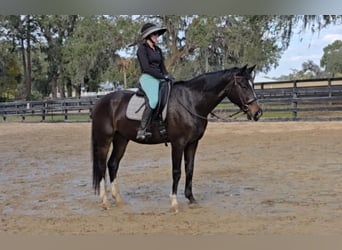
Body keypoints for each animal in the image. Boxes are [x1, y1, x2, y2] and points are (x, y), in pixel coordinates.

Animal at [90, 64, 262, 213]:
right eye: (243, 85)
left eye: (252, 84)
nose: (257, 112)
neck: (191, 102)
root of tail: (100, 102)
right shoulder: (178, 144)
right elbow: (177, 171)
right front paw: (174, 203)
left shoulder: (192, 143)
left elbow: (190, 169)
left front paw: (191, 199)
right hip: (104, 140)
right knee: (101, 166)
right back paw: (105, 202)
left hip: (121, 139)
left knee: (113, 164)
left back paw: (118, 199)